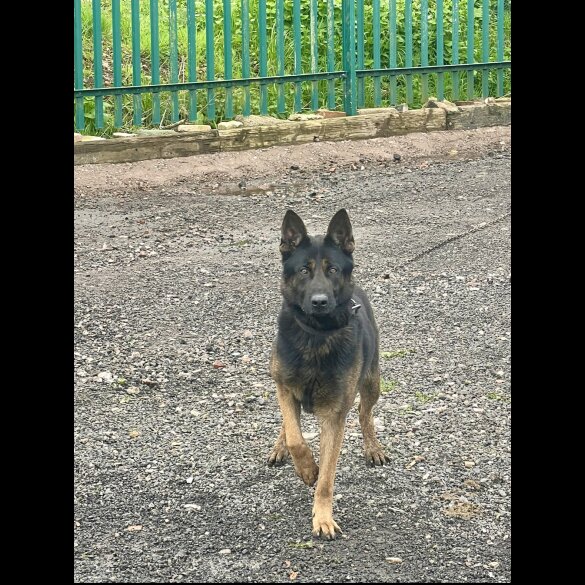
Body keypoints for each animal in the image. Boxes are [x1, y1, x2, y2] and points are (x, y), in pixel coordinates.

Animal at [268, 209, 388, 540]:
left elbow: (327, 479)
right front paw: (306, 467)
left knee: (364, 413)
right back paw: (279, 447)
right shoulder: (283, 385)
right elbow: (295, 437)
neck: (316, 336)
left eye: (332, 269)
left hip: (372, 383)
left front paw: (322, 517)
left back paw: (373, 447)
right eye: (304, 271)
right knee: (288, 423)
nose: (320, 301)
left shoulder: (335, 414)